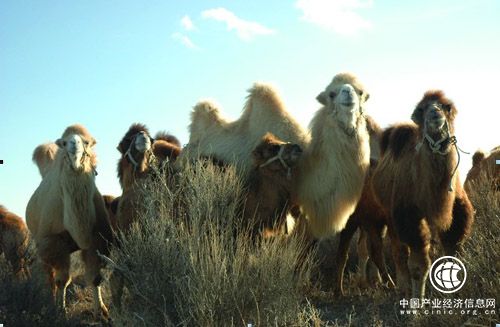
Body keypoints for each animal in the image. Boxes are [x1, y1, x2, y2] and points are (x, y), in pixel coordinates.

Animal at [25, 125, 112, 318]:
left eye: (86, 142)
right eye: (64, 142)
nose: (74, 144)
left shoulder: (96, 239)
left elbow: (95, 277)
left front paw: (102, 312)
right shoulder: (54, 243)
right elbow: (62, 280)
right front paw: (61, 311)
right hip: (41, 244)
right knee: (49, 277)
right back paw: (51, 301)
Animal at [374, 90, 474, 300]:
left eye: (446, 106)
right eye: (422, 109)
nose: (435, 113)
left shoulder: (457, 215)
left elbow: (453, 251)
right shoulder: (408, 215)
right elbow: (419, 265)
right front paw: (417, 303)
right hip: (389, 213)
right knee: (399, 251)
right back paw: (402, 288)